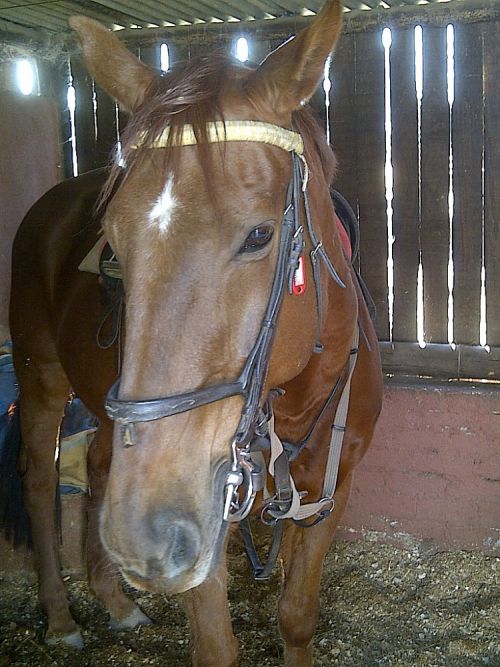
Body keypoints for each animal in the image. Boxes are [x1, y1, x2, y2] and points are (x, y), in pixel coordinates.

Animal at [3, 1, 382, 664]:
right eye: (114, 244)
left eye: (259, 236)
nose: (144, 536)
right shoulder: (204, 514)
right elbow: (217, 647)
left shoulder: (325, 496)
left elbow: (297, 617)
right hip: (41, 377)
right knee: (39, 481)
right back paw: (62, 616)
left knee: (98, 465)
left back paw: (117, 602)